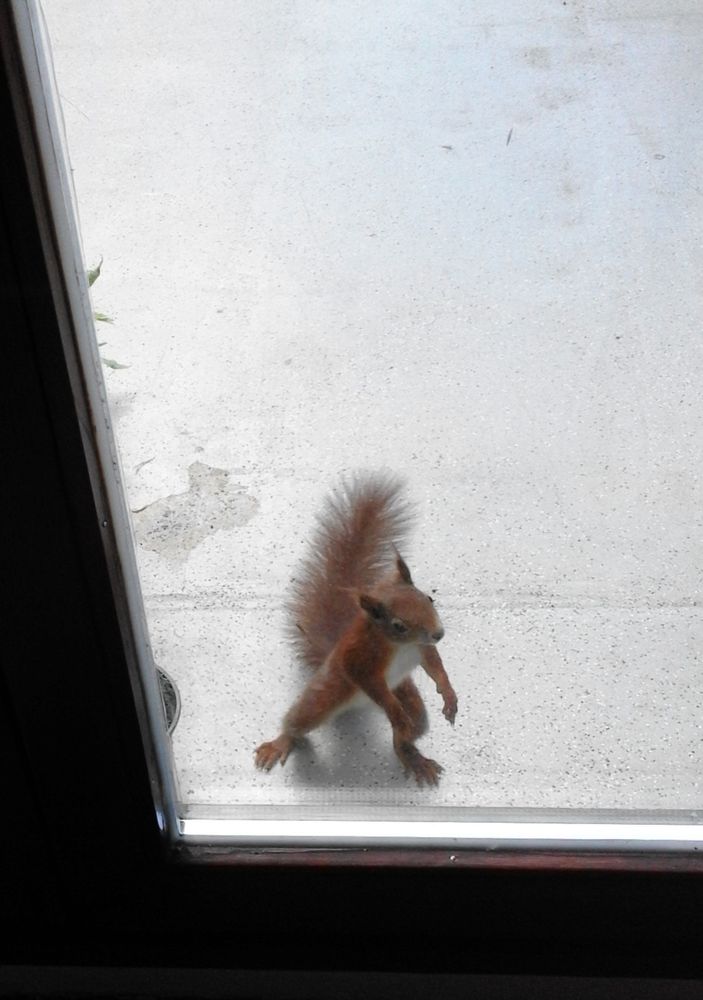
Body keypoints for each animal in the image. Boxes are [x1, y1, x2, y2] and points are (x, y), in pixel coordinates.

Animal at [255, 473, 457, 786]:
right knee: (299, 720)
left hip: (407, 695)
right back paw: (281, 742)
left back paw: (413, 757)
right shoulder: (362, 656)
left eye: (428, 598)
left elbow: (435, 665)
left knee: (408, 733)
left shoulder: (421, 648)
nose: (438, 634)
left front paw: (448, 693)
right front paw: (397, 710)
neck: (401, 646)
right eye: (398, 626)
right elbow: (368, 678)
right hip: (326, 694)